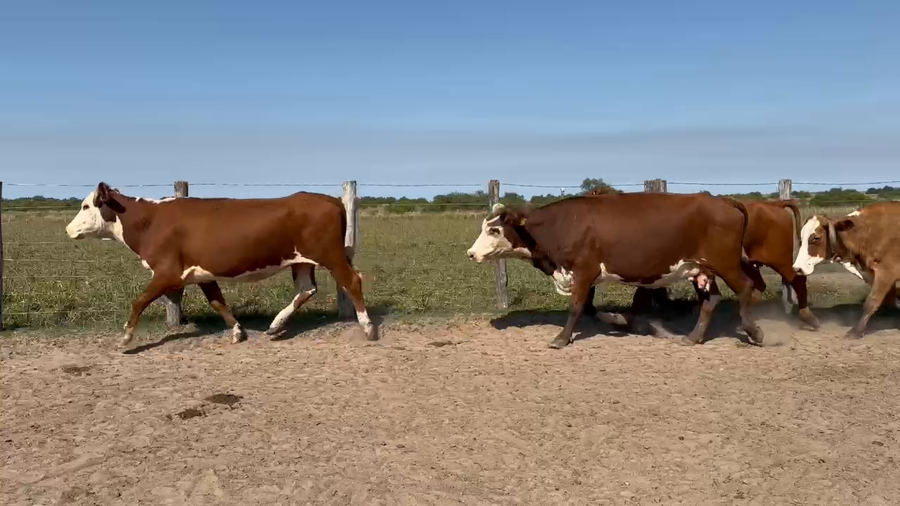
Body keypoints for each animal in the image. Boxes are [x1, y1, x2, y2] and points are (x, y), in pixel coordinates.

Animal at [65, 182, 378, 347]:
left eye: (86, 206)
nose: (68, 229)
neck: (150, 221)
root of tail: (331, 200)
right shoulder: (202, 273)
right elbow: (218, 302)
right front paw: (238, 331)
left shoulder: (167, 272)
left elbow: (138, 301)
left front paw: (126, 337)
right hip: (301, 260)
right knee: (306, 289)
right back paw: (275, 325)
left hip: (330, 254)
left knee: (352, 281)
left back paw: (368, 328)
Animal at [466, 192, 764, 348]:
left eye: (494, 230)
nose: (471, 253)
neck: (562, 225)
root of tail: (723, 200)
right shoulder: (587, 276)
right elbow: (588, 307)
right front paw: (619, 320)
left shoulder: (583, 271)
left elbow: (576, 307)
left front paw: (561, 338)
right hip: (700, 268)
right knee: (711, 300)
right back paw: (694, 337)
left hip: (725, 263)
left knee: (745, 289)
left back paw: (755, 332)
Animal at [793, 201, 900, 338]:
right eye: (801, 238)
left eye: (815, 238)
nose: (797, 268)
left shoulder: (887, 271)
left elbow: (871, 302)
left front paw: (856, 331)